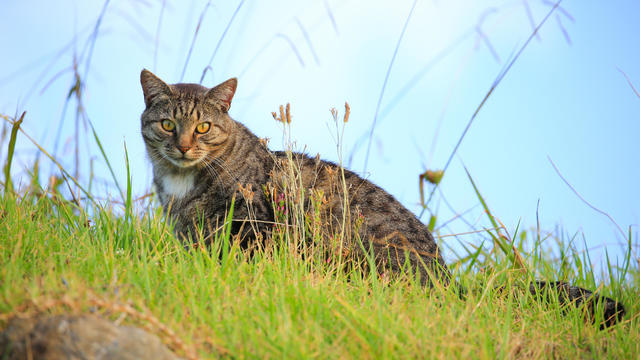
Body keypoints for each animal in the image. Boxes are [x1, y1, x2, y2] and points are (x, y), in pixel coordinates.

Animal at [139, 69, 624, 328]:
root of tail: (450, 283)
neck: (181, 181)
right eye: (168, 125)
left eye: (203, 127)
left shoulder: (253, 222)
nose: (183, 145)